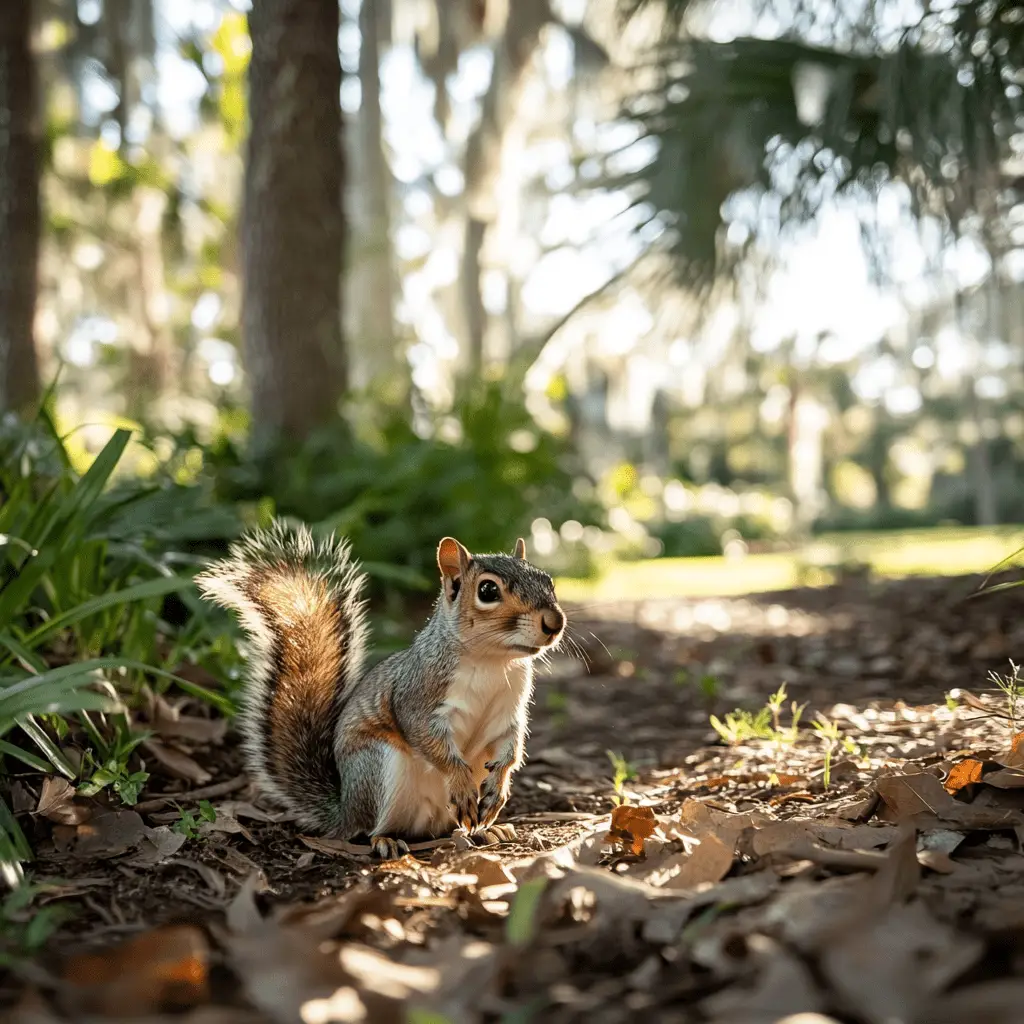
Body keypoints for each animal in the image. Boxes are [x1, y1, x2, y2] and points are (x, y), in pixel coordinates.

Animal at [197, 524, 569, 860]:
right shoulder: (417, 696)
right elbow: (429, 740)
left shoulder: (509, 710)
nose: (554, 623)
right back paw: (387, 840)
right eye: (488, 590)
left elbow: (511, 747)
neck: (493, 662)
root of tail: (344, 809)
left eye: (548, 581)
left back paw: (487, 830)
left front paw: (498, 788)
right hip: (379, 769)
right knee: (371, 828)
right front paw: (461, 782)